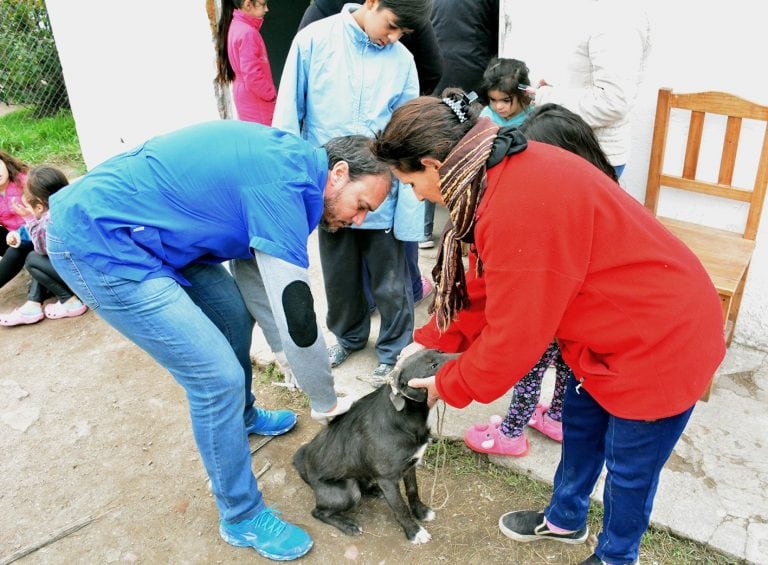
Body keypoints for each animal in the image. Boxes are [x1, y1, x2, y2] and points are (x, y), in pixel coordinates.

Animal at [292, 348, 452, 540]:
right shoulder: (388, 479)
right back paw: (348, 525)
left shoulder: (410, 466)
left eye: (441, 352)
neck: (404, 417)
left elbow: (413, 490)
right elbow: (400, 508)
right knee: (318, 512)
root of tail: (304, 467)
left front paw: (420, 512)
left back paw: (374, 491)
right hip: (347, 492)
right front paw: (414, 531)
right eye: (433, 366)